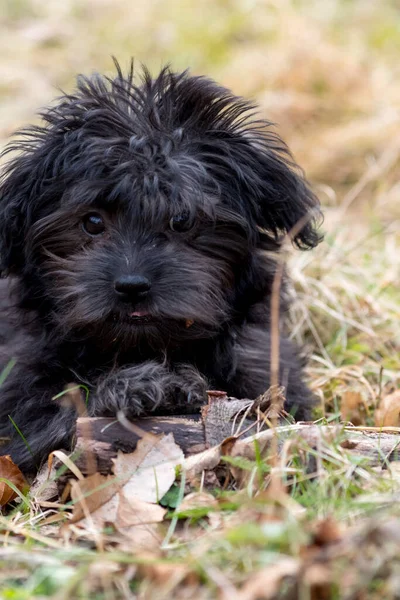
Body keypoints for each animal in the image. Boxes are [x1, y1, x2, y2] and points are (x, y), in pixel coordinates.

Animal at [0, 62, 322, 474]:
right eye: (92, 222)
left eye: (183, 219)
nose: (132, 285)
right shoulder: (19, 396)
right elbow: (53, 419)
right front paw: (138, 386)